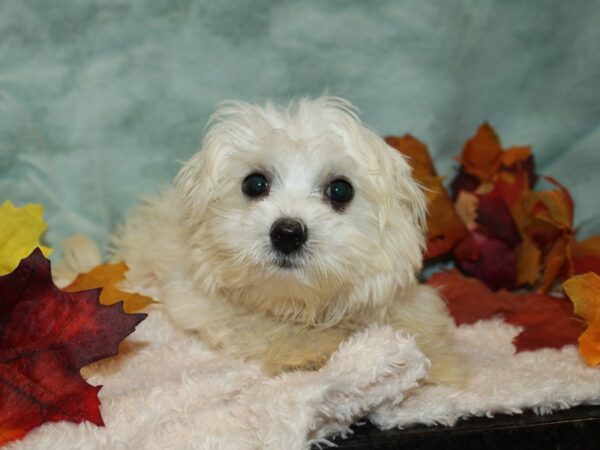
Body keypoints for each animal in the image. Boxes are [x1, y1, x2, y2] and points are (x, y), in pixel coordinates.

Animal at [115, 96, 466, 384]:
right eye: (254, 184)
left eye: (341, 190)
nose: (287, 233)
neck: (298, 304)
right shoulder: (201, 304)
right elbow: (260, 325)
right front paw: (304, 350)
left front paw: (442, 361)